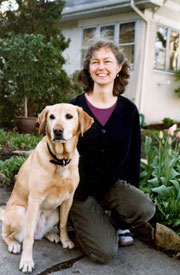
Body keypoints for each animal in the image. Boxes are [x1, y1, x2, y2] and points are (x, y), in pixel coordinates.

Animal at [0, 103, 93, 274]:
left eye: (69, 116)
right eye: (52, 117)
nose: (57, 130)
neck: (61, 160)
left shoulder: (69, 199)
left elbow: (63, 224)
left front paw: (65, 240)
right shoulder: (35, 199)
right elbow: (28, 238)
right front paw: (27, 261)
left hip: (54, 213)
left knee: (39, 234)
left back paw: (51, 235)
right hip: (20, 212)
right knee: (9, 234)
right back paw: (14, 244)